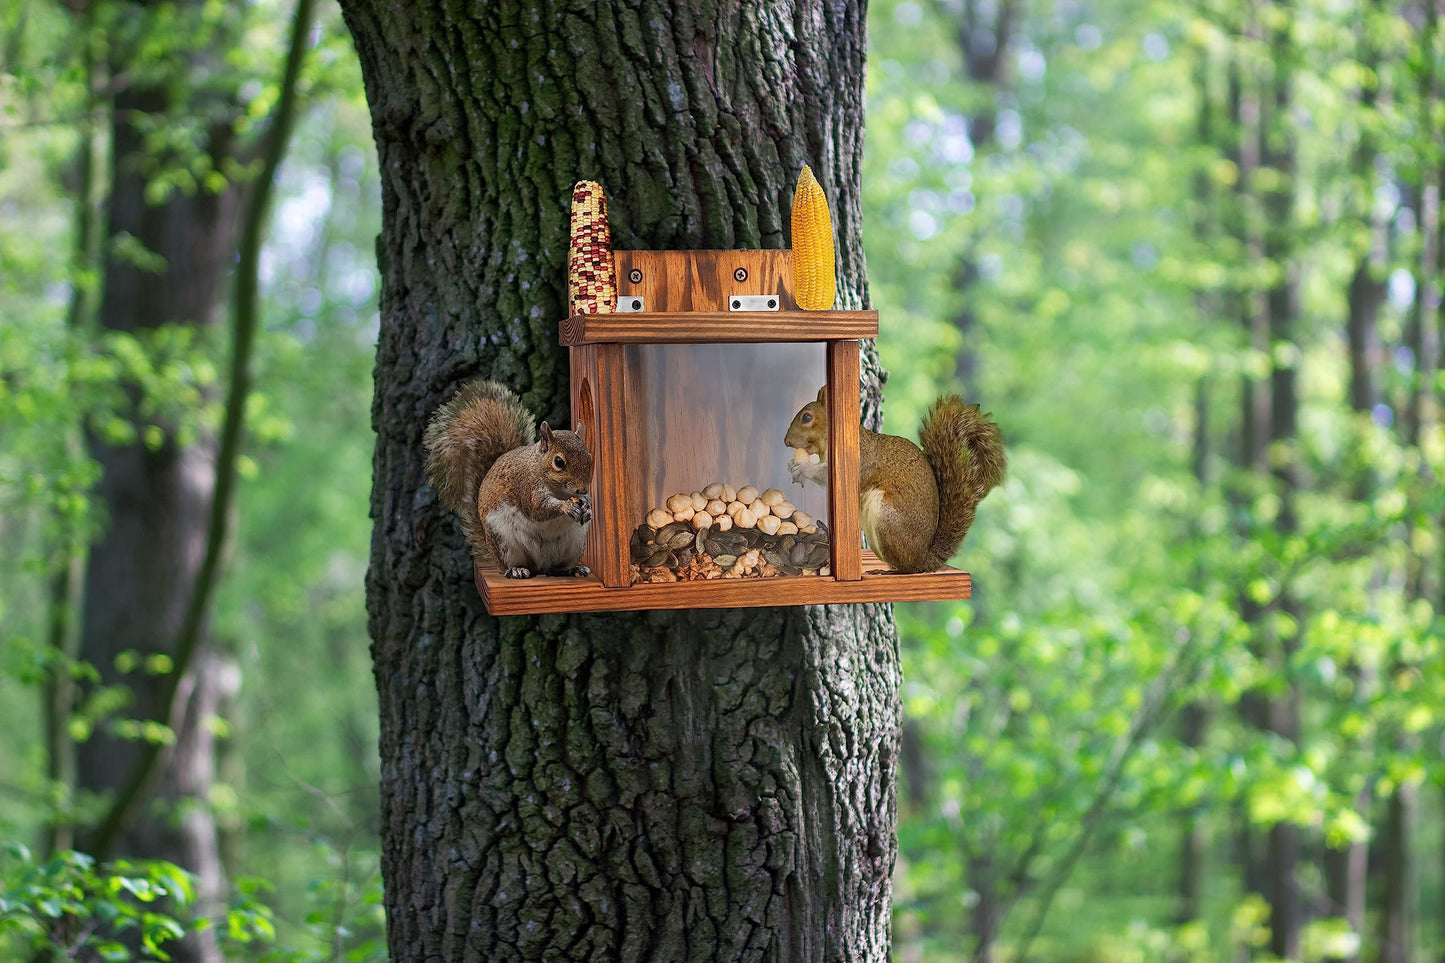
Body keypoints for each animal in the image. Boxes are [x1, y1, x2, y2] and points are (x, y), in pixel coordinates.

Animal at [424, 380, 594, 579]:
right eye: (558, 462)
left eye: (590, 458)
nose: (582, 489)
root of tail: (540, 565)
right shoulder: (526, 486)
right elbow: (537, 509)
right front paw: (566, 506)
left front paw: (587, 509)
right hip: (504, 542)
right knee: (514, 565)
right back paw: (517, 569)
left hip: (574, 543)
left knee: (555, 569)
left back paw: (573, 569)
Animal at [783, 388, 1006, 574]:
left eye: (807, 417)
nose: (786, 442)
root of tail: (925, 558)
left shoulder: (857, 461)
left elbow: (825, 475)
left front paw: (802, 468)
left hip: (887, 518)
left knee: (908, 568)